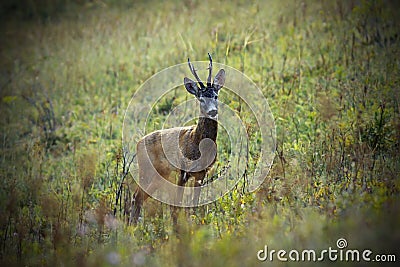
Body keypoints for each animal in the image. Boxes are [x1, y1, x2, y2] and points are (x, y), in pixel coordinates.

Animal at [129, 53, 225, 225]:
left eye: (215, 95)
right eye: (200, 98)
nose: (213, 111)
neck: (197, 142)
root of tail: (138, 143)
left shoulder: (201, 173)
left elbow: (194, 204)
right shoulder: (183, 170)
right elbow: (177, 205)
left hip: (160, 174)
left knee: (139, 197)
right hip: (146, 169)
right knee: (136, 196)